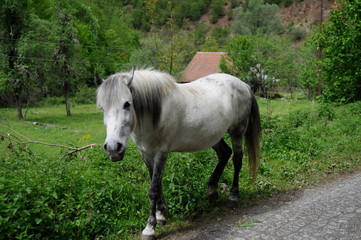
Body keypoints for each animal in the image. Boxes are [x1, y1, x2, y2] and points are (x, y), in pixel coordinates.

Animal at [95, 68, 258, 240]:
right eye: (102, 108)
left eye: (127, 104)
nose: (113, 148)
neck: (155, 113)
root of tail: (244, 85)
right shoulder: (146, 153)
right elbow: (157, 184)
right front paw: (161, 214)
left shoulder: (161, 152)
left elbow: (153, 190)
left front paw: (150, 228)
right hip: (214, 136)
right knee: (224, 154)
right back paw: (212, 191)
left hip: (237, 132)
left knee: (237, 159)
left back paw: (233, 196)